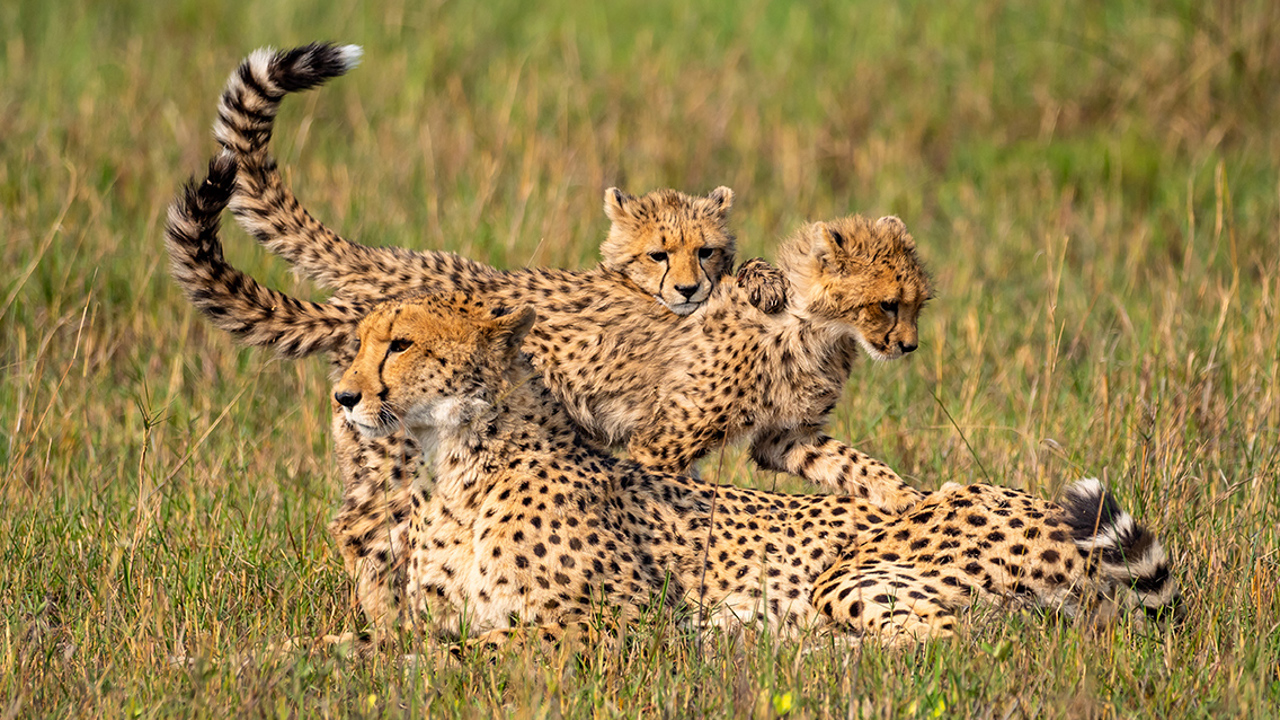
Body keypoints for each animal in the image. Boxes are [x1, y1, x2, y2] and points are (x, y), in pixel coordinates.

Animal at [167, 154, 930, 627]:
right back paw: (389, 622)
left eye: (915, 303)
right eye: (888, 305)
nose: (909, 345)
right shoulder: (663, 439)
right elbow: (669, 504)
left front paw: (909, 500)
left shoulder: (785, 437)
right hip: (393, 453)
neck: (815, 325)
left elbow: (854, 466)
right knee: (362, 530)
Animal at [327, 290, 1178, 650]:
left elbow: (469, 652)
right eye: (361, 342)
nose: (343, 396)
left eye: (400, 344)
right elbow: (392, 637)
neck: (456, 464)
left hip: (854, 575)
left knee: (962, 640)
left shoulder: (624, 619)